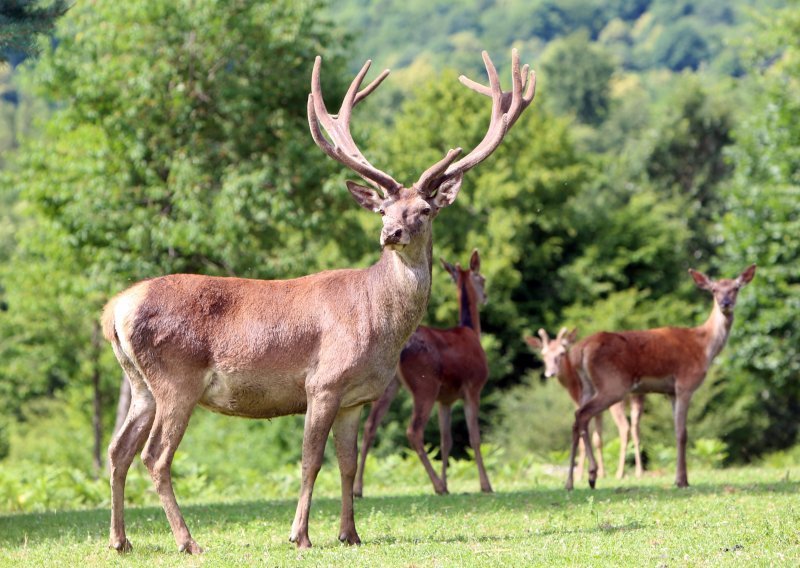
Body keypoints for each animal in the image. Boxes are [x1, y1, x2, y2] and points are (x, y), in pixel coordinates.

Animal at [356, 250, 494, 496]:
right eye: (482, 279)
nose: (486, 296)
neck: (471, 331)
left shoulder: (445, 399)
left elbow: (446, 440)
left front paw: (448, 482)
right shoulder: (474, 388)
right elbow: (475, 438)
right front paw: (485, 485)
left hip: (390, 385)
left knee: (370, 426)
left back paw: (358, 488)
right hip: (425, 385)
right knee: (413, 430)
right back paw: (437, 486)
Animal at [524, 328, 644, 484]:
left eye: (562, 352)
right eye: (543, 354)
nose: (550, 373)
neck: (572, 385)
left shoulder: (579, 401)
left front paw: (581, 475)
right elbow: (598, 438)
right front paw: (601, 473)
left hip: (617, 401)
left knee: (624, 427)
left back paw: (620, 473)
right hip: (638, 398)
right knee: (636, 429)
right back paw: (639, 472)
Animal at [564, 264, 752, 490]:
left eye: (735, 288)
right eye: (714, 290)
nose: (725, 303)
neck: (704, 347)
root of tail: (580, 350)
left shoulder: (670, 392)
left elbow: (677, 431)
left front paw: (681, 478)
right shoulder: (685, 384)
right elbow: (682, 433)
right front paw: (681, 480)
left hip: (587, 386)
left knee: (576, 419)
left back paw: (570, 482)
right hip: (613, 384)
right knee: (582, 415)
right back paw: (591, 476)